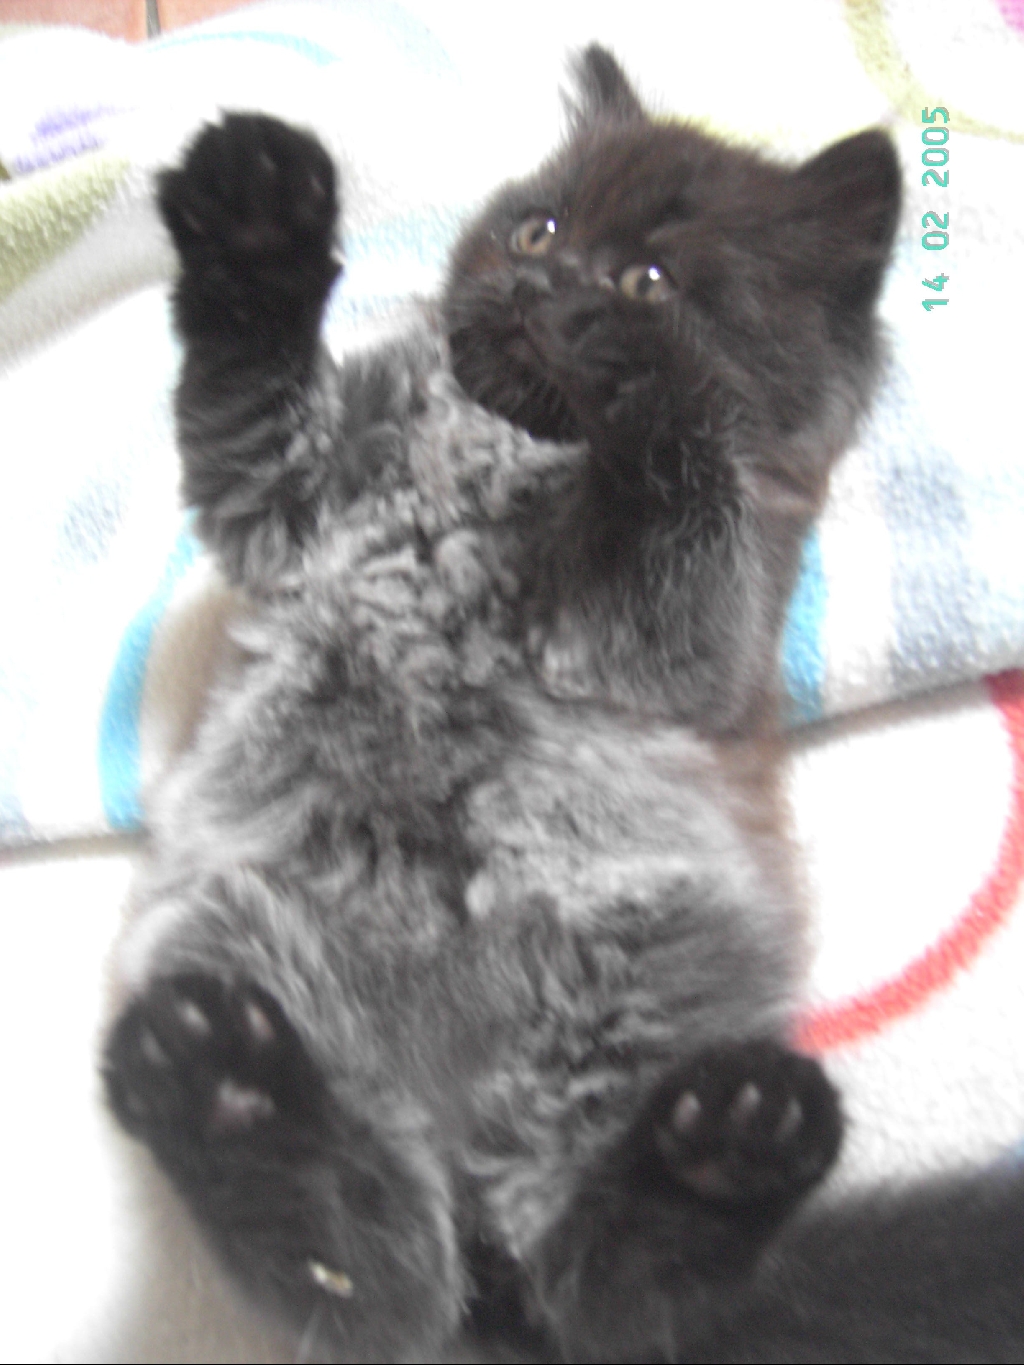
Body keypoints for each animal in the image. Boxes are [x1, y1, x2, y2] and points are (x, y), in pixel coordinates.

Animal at [102, 45, 1024, 1365]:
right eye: (537, 229)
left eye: (652, 275)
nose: (555, 286)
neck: (512, 438)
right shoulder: (296, 498)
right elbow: (248, 408)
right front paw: (257, 224)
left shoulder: (687, 625)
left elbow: (682, 498)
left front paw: (646, 368)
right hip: (228, 933)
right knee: (381, 1275)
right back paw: (230, 1102)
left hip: (646, 968)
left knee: (599, 1295)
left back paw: (714, 1164)